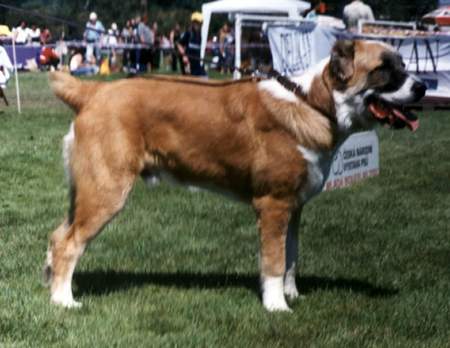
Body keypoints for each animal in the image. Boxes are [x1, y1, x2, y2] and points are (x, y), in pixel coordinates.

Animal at [44, 40, 426, 310]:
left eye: (403, 64)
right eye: (384, 69)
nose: (422, 87)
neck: (314, 102)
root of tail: (95, 90)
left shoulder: (294, 207)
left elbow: (291, 257)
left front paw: (292, 294)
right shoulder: (273, 205)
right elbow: (274, 260)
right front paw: (277, 306)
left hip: (87, 191)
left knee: (58, 234)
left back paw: (51, 283)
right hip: (107, 190)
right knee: (69, 243)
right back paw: (64, 300)